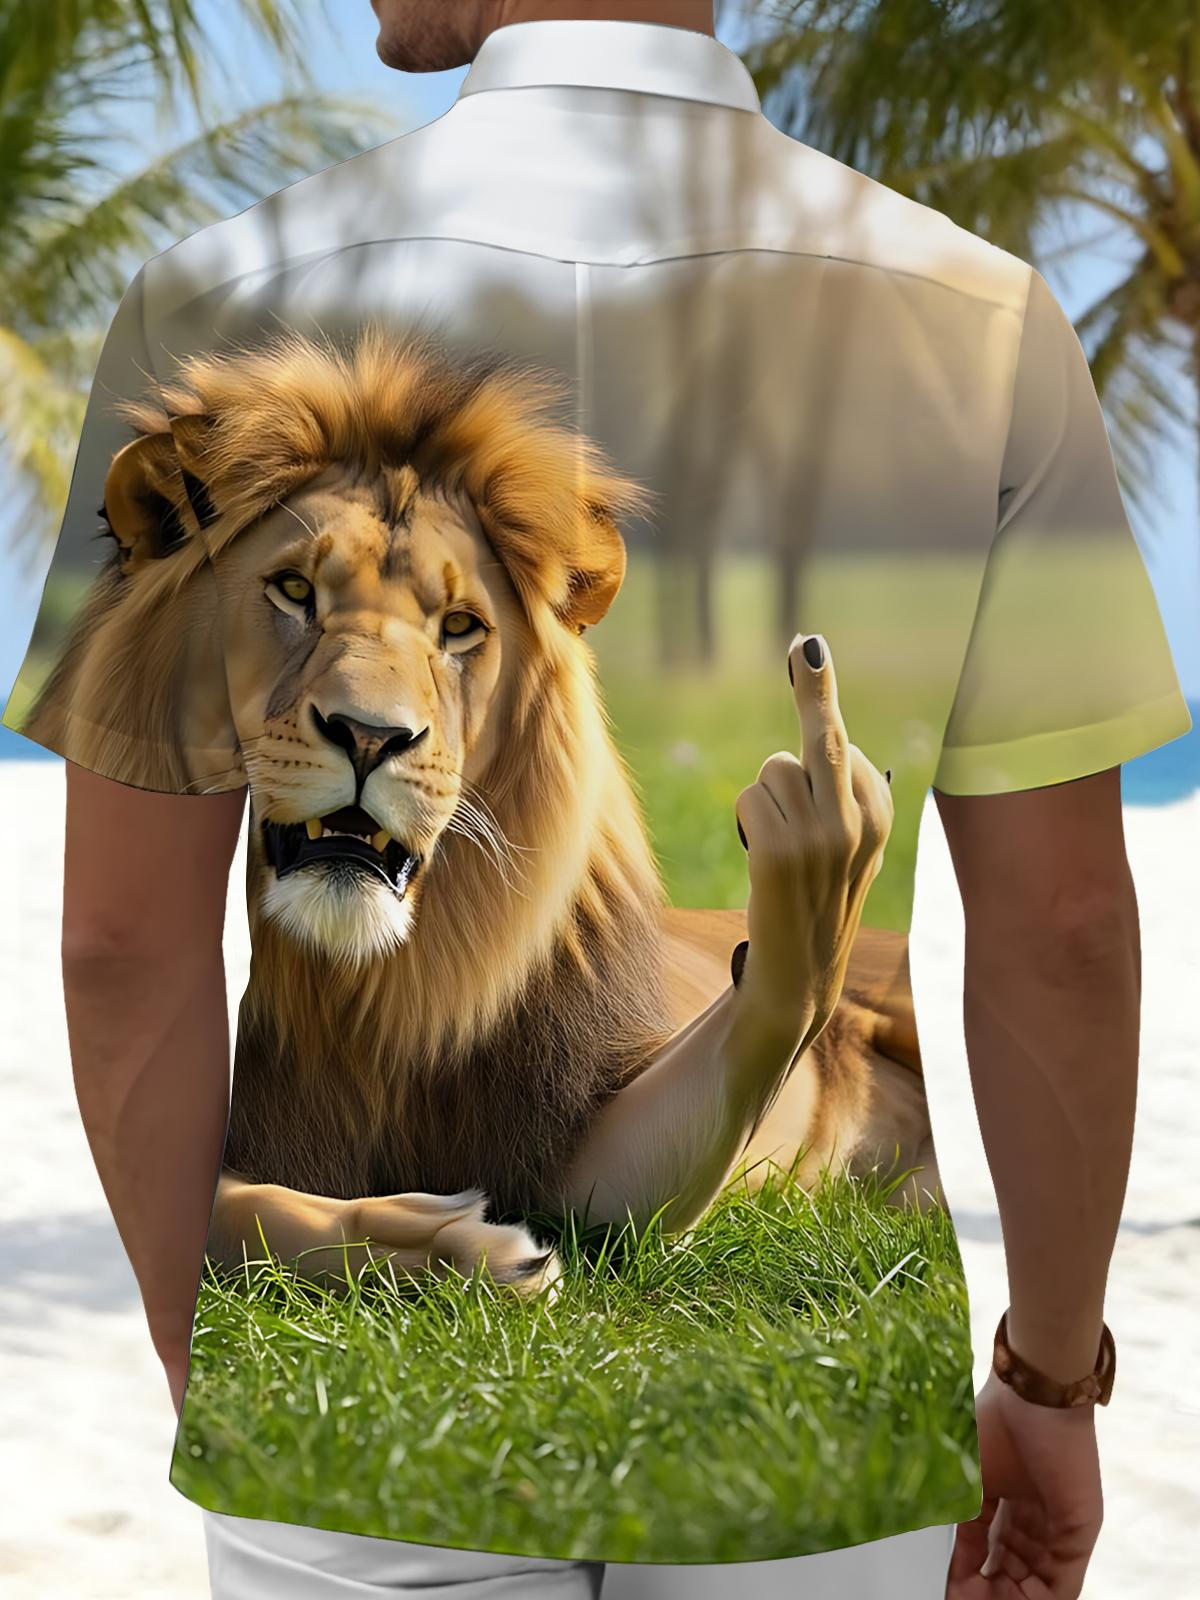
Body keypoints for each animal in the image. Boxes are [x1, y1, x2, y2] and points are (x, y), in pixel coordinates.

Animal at [30, 324, 938, 1294]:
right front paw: (438, 1244)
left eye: (459, 627)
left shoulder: (569, 1145)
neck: (336, 986)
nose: (370, 735)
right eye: (294, 591)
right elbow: (226, 1211)